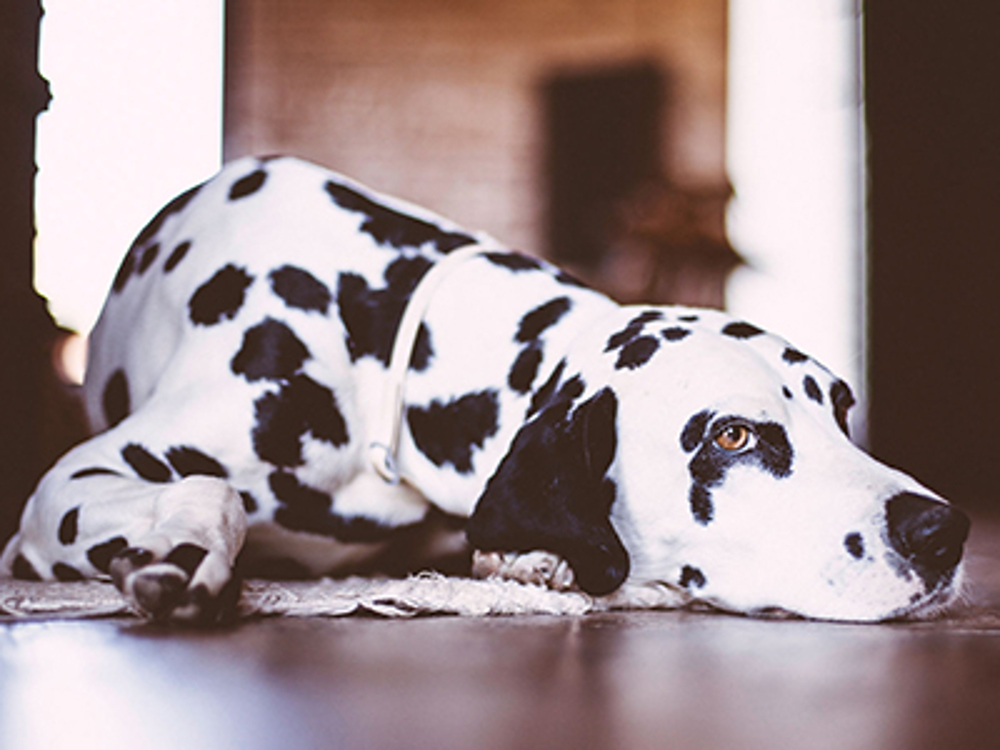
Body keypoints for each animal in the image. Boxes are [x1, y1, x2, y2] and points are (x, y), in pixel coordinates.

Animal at [0, 157, 968, 624]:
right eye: (731, 437)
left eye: (842, 411)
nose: (945, 531)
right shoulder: (63, 489)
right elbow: (207, 490)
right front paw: (177, 555)